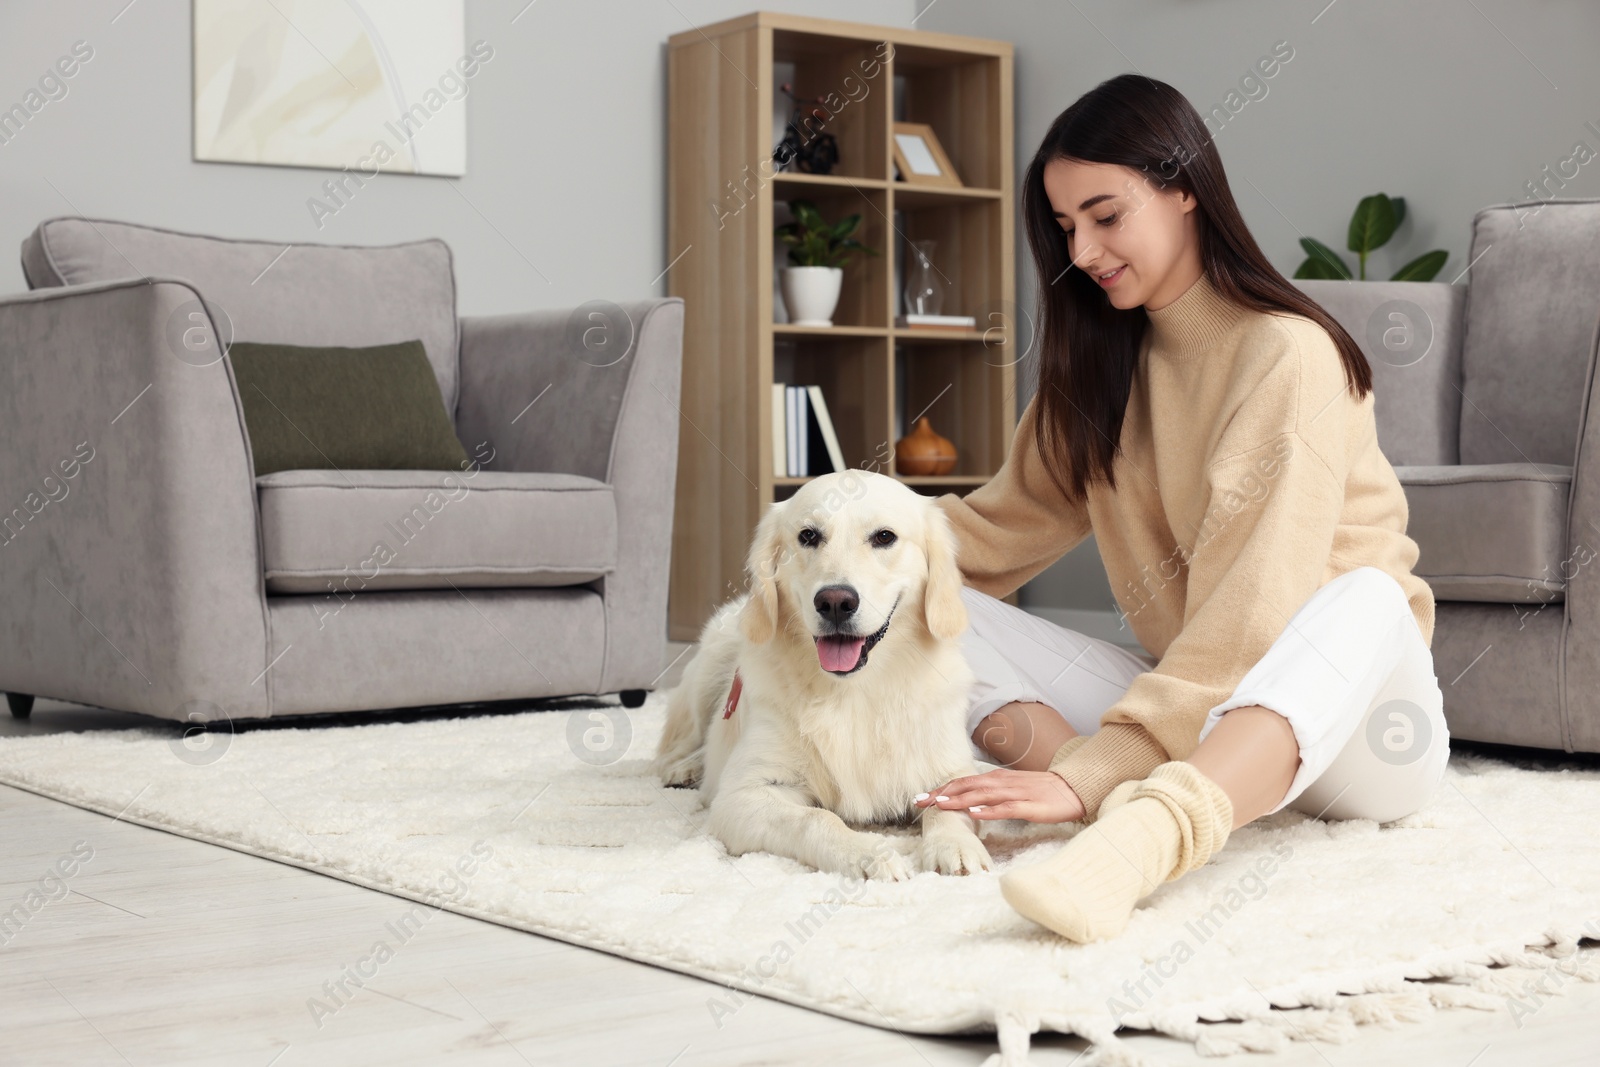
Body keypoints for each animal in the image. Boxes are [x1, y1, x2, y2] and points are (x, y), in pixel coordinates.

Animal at [649, 470, 985, 883]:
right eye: (808, 535)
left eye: (884, 537)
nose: (836, 602)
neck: (855, 690)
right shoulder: (741, 796)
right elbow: (815, 819)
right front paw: (868, 854)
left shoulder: (953, 767)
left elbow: (949, 803)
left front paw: (955, 845)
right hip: (709, 668)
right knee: (682, 742)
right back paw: (685, 766)